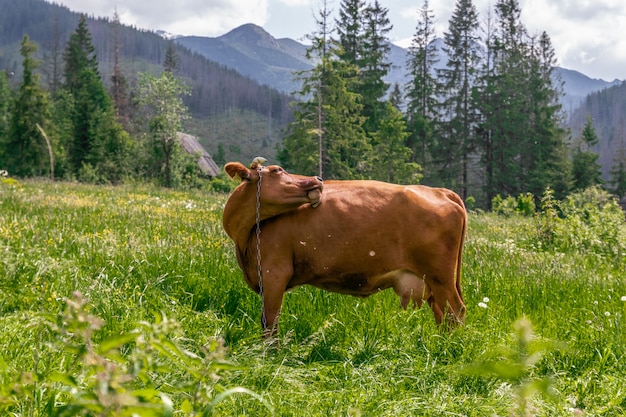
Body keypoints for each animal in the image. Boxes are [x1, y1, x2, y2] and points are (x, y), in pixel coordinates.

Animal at [223, 161, 464, 336]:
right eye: (277, 170)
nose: (318, 179)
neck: (246, 238)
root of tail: (440, 191)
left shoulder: (274, 274)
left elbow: (270, 322)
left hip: (440, 276)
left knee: (455, 311)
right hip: (431, 281)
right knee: (442, 314)